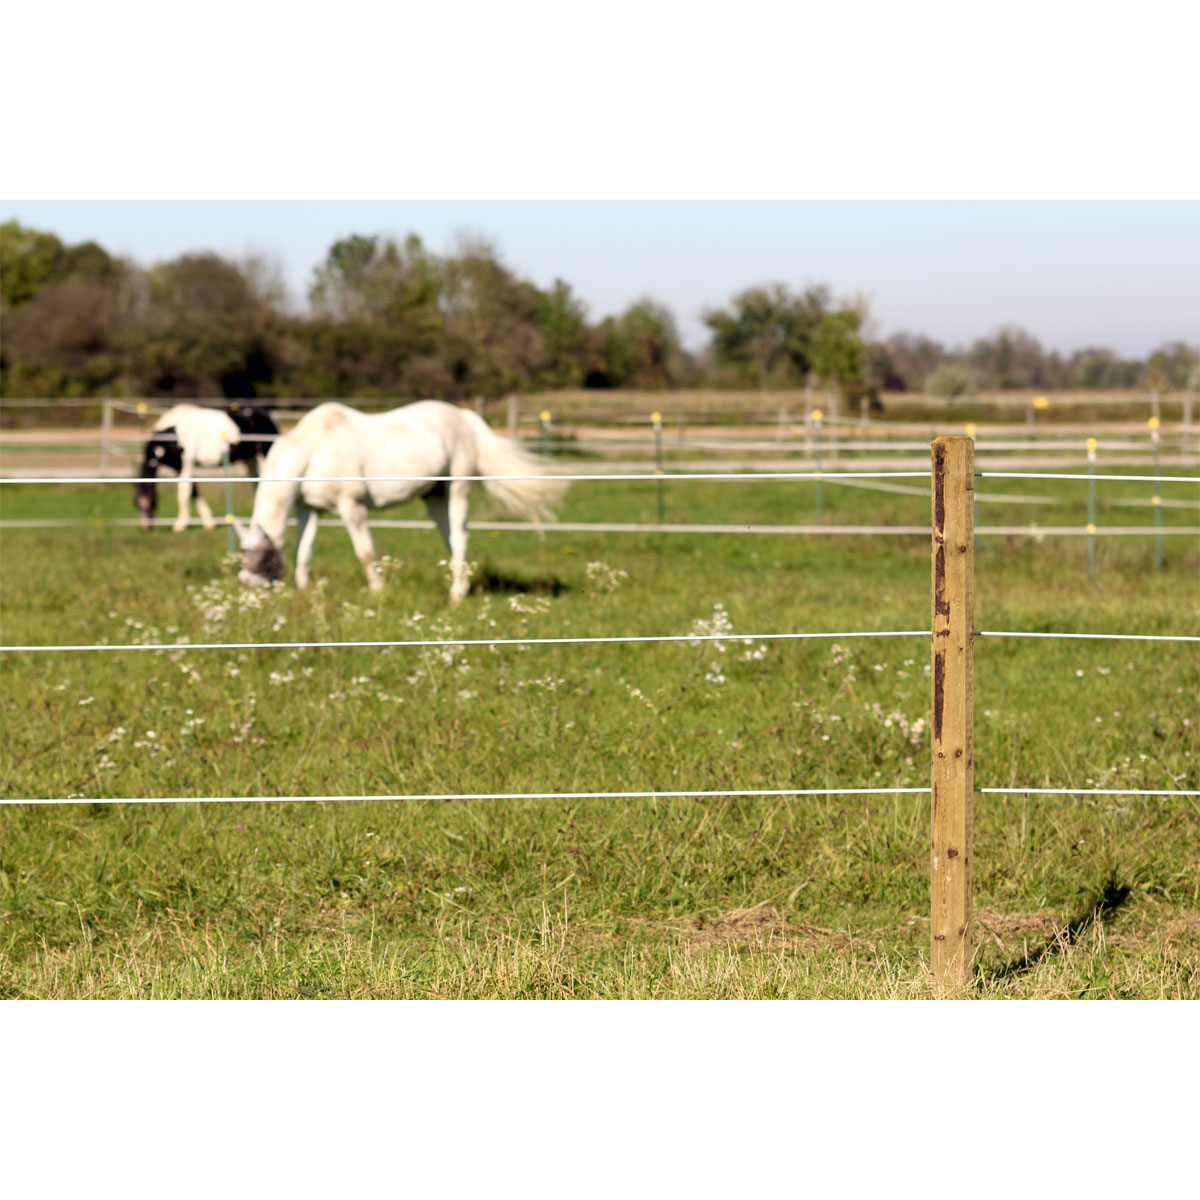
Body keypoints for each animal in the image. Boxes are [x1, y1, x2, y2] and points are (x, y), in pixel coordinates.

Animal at [134, 404, 280, 532]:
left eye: (147, 502)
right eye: (135, 503)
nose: (144, 528)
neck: (173, 434)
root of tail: (269, 417)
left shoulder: (186, 465)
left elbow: (184, 494)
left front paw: (180, 525)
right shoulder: (179, 467)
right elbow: (194, 491)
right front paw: (209, 522)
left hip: (265, 457)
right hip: (251, 460)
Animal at [235, 401, 567, 602]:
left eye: (261, 559)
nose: (247, 589)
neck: (315, 448)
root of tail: (463, 417)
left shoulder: (352, 506)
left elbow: (365, 553)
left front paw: (377, 591)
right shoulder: (309, 509)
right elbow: (303, 552)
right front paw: (302, 591)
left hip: (457, 488)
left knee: (460, 537)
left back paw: (457, 594)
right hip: (435, 496)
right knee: (451, 538)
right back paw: (458, 584)